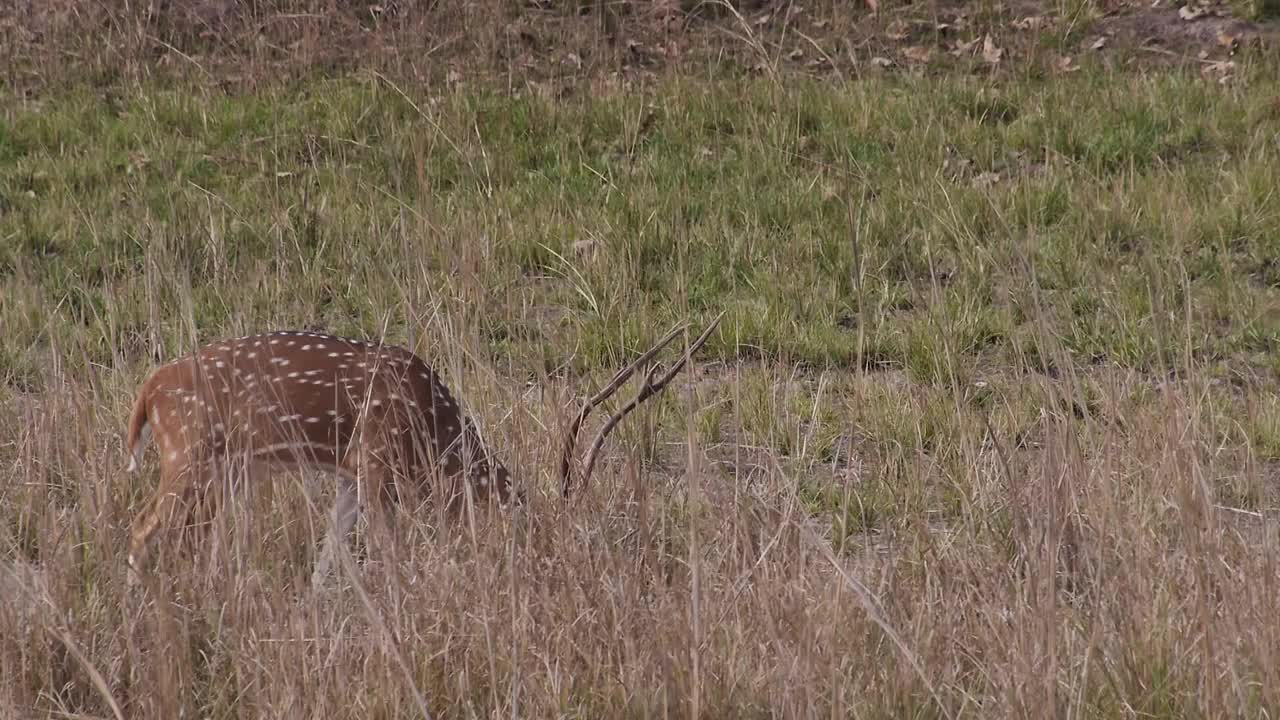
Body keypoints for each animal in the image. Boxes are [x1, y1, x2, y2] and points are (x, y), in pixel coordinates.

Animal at [120, 327, 519, 586]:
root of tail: (149, 390)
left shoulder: (352, 474)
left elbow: (331, 541)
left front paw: (313, 600)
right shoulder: (376, 459)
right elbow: (386, 545)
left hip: (227, 468)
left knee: (193, 531)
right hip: (186, 452)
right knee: (143, 524)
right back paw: (136, 597)